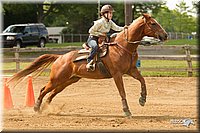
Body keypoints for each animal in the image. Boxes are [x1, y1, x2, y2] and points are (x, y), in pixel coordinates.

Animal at [7, 13, 167, 116]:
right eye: (153, 23)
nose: (165, 35)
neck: (123, 46)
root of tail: (60, 57)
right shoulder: (117, 75)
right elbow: (122, 92)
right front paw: (127, 111)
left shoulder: (131, 70)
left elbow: (143, 81)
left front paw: (142, 99)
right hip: (57, 79)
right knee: (43, 90)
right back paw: (36, 108)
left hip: (68, 81)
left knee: (52, 93)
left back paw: (46, 108)